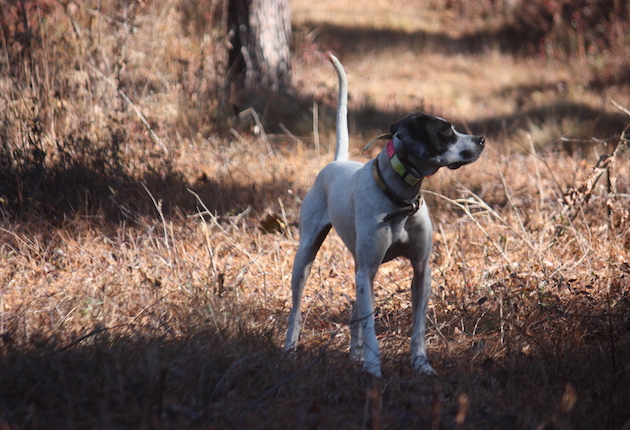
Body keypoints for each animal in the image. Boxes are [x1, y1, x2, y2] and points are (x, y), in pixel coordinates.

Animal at [284, 53, 486, 376]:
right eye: (446, 133)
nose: (481, 139)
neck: (400, 198)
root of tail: (337, 162)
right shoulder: (367, 270)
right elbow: (370, 327)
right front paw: (374, 369)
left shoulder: (421, 270)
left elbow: (417, 328)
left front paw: (421, 365)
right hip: (306, 257)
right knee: (297, 310)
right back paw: (291, 349)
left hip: (360, 267)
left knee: (355, 309)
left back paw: (354, 357)